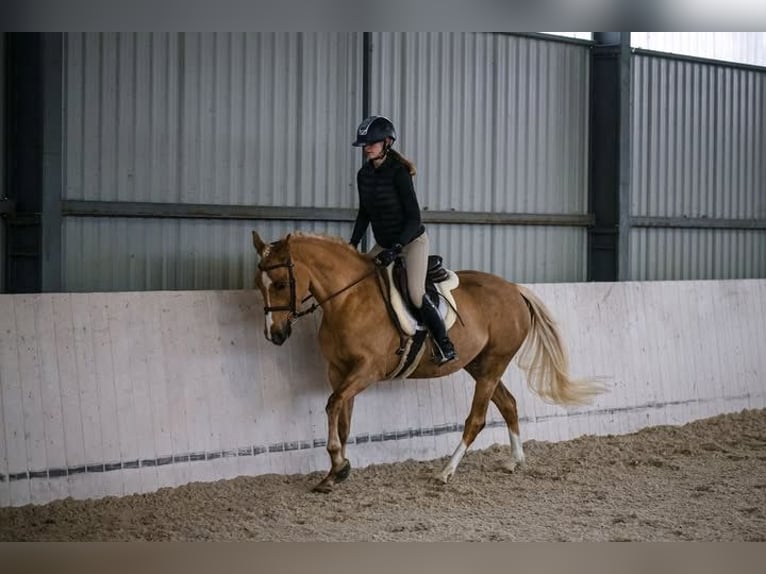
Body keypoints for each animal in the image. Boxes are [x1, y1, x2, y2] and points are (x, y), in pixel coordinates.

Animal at [251, 230, 604, 493]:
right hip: (478, 364)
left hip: (493, 363)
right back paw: (515, 461)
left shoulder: (367, 371)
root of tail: (514, 290)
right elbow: (342, 417)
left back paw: (446, 471)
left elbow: (332, 404)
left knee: (476, 419)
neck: (348, 300)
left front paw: (338, 463)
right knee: (508, 403)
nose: (275, 335)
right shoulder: (338, 372)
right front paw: (336, 473)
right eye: (258, 286)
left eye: (281, 284)